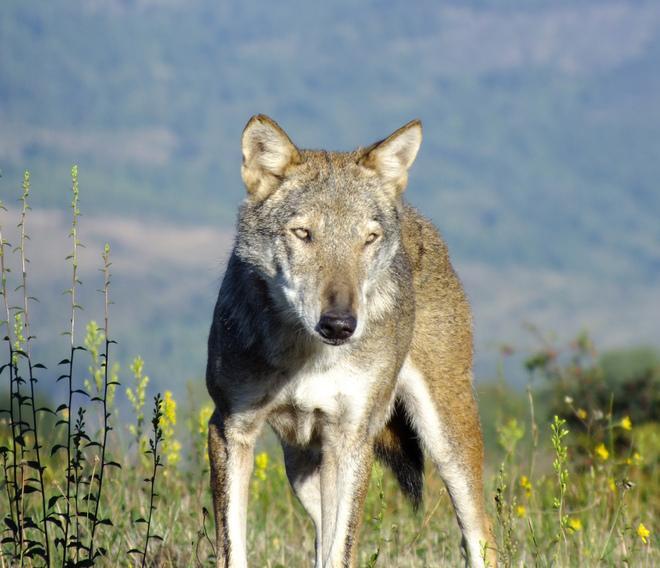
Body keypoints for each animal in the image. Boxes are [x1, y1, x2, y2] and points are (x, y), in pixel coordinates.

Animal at [206, 115, 496, 567]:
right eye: (303, 233)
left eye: (368, 238)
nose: (340, 324)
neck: (307, 355)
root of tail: (415, 215)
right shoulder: (229, 428)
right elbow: (233, 550)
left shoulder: (353, 440)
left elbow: (341, 552)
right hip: (305, 472)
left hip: (448, 445)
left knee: (482, 536)